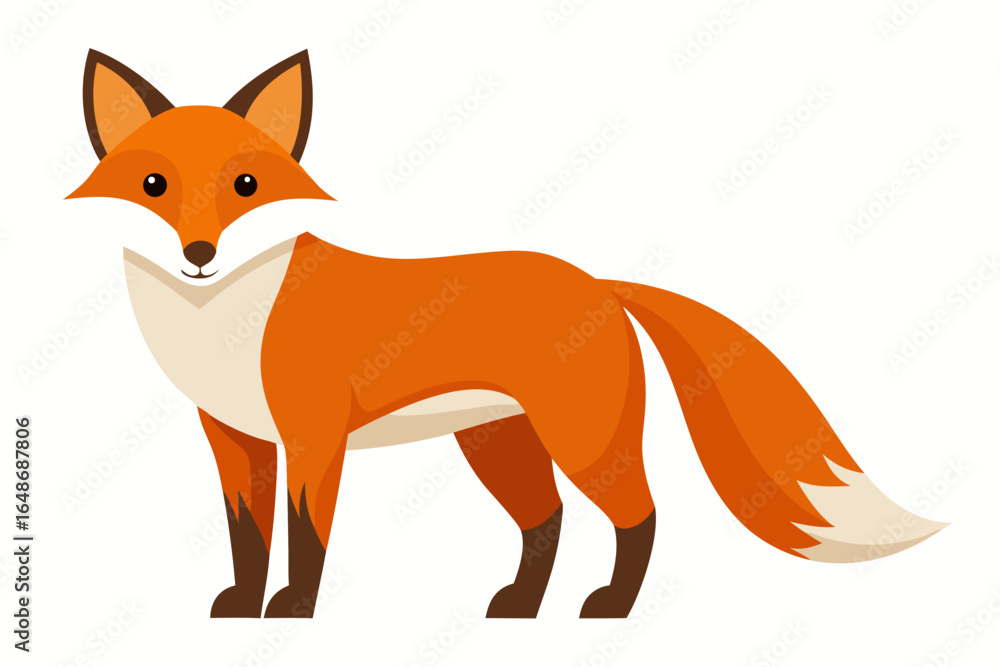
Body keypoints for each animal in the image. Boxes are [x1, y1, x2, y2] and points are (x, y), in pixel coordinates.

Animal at [68, 49, 947, 619]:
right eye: (154, 185)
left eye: (247, 185)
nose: (199, 252)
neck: (223, 321)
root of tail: (600, 283)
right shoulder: (234, 436)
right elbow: (245, 536)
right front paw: (241, 606)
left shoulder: (314, 435)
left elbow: (305, 536)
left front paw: (290, 610)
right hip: (498, 442)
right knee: (544, 521)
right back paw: (522, 606)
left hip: (581, 439)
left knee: (639, 515)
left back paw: (611, 607)